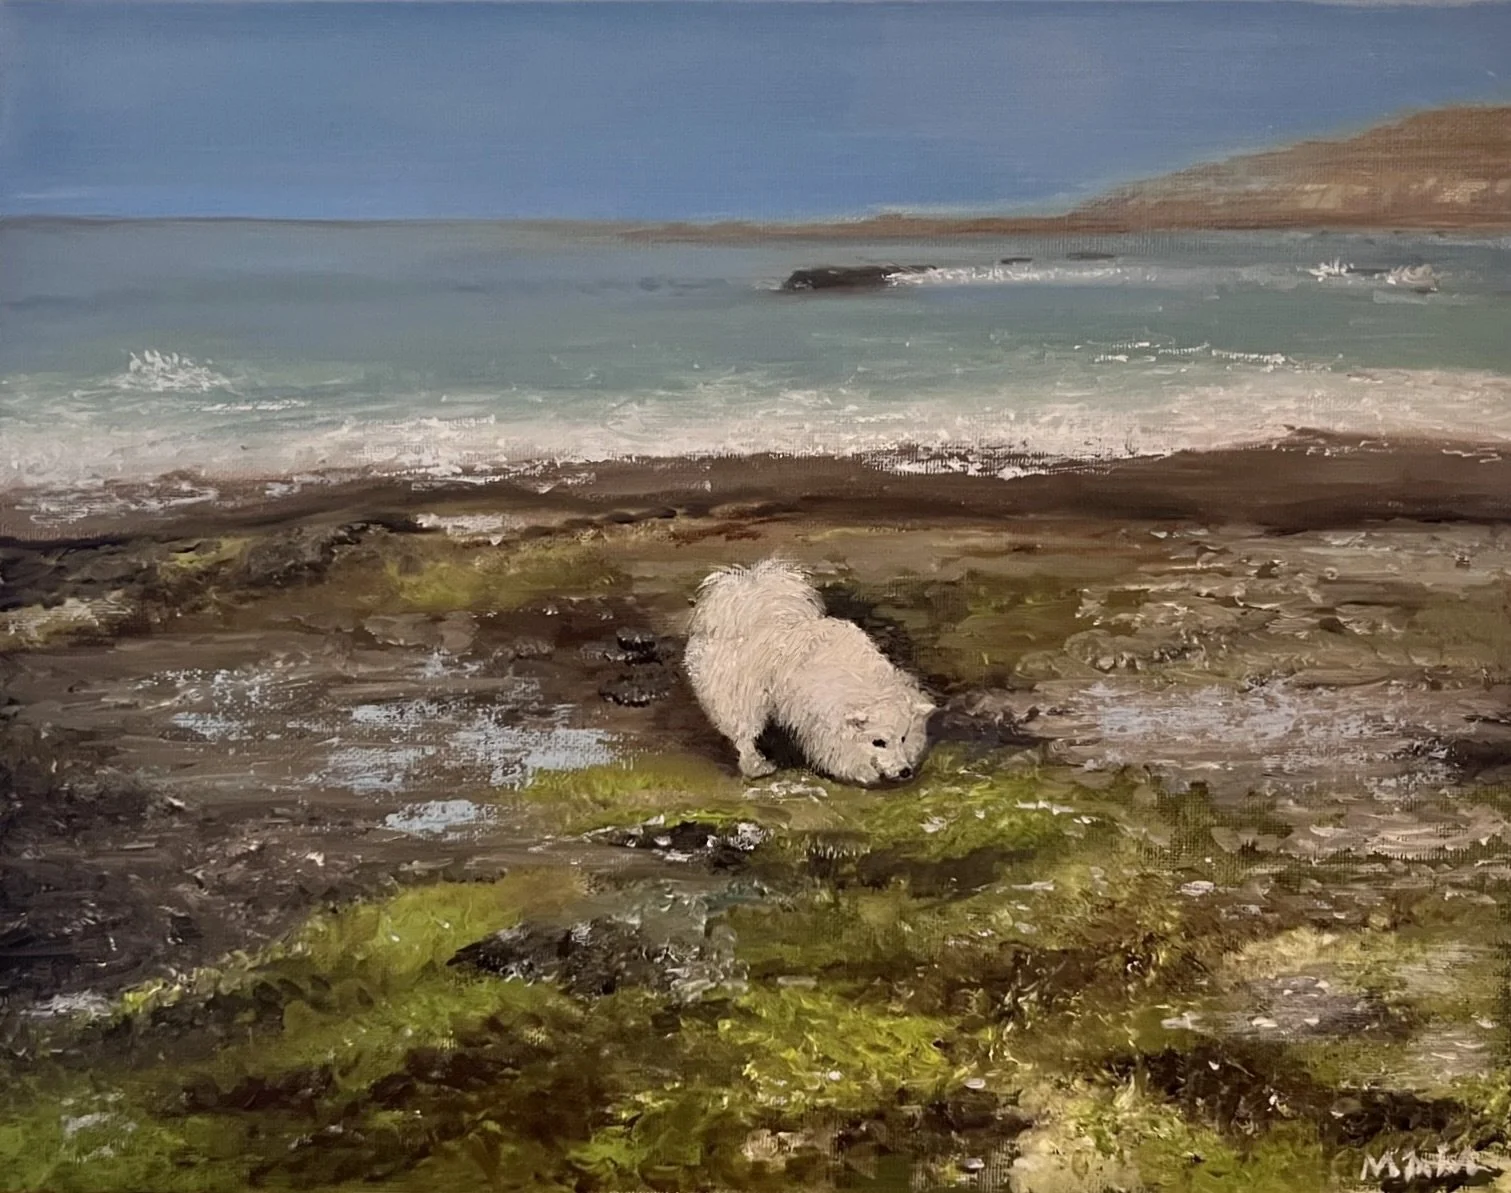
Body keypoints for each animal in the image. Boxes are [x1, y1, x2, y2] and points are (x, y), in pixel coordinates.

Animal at [684, 558, 934, 786]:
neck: (868, 687)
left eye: (903, 738)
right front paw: (861, 773)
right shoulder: (826, 726)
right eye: (878, 742)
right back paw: (756, 766)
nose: (904, 771)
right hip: (743, 699)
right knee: (744, 735)